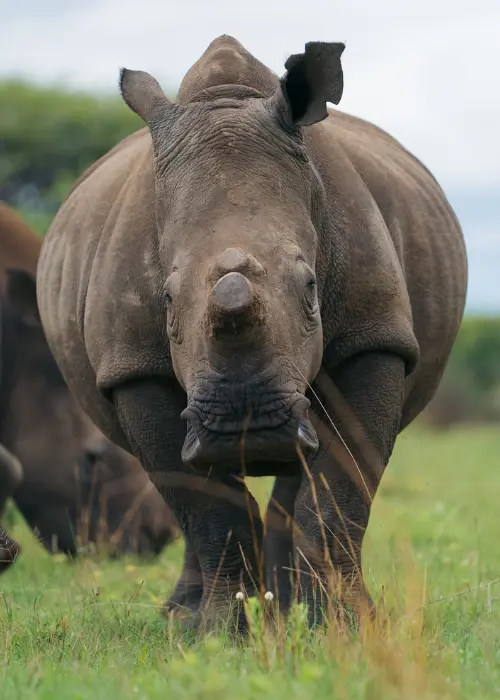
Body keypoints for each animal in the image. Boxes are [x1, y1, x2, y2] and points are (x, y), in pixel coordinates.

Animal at [37, 36, 467, 631]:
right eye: (165, 300)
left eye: (311, 288)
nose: (250, 429)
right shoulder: (133, 365)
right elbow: (205, 504)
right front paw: (217, 635)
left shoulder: (375, 337)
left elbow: (338, 493)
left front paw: (345, 629)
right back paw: (184, 620)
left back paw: (286, 611)